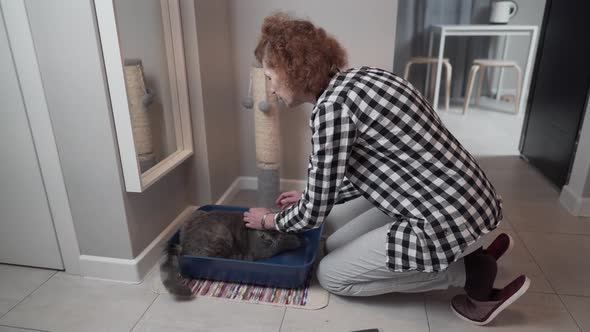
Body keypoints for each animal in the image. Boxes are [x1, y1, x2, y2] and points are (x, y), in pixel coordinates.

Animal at [161, 210, 300, 296]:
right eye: (263, 227)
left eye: (273, 230)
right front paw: (296, 241)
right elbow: (280, 246)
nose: (267, 237)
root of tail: (183, 246)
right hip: (223, 234)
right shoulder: (263, 251)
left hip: (196, 214)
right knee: (219, 257)